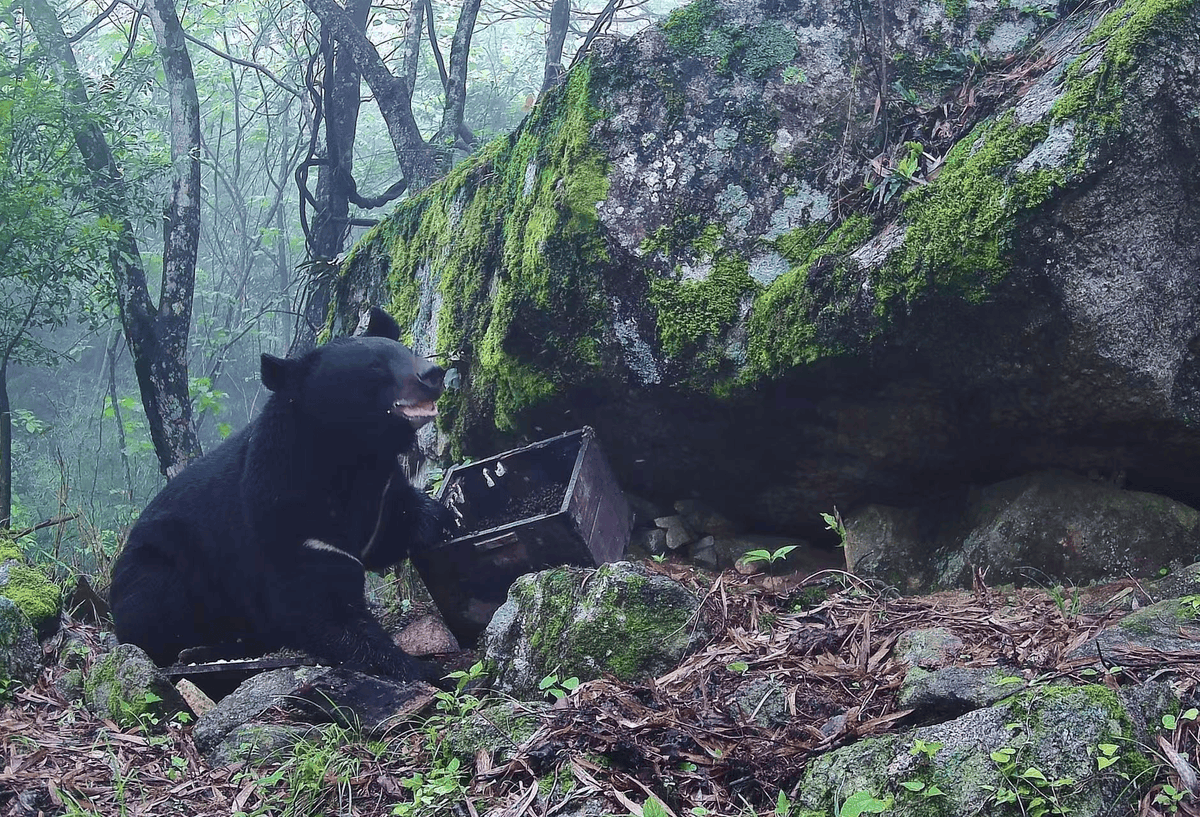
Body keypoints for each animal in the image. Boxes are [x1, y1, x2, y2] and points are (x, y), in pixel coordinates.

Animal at [109, 307, 448, 682]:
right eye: (375, 367)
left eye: (405, 350)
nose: (433, 374)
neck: (352, 456)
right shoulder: (285, 516)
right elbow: (320, 609)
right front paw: (419, 666)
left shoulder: (380, 492)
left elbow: (392, 528)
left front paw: (443, 520)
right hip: (158, 569)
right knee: (155, 615)